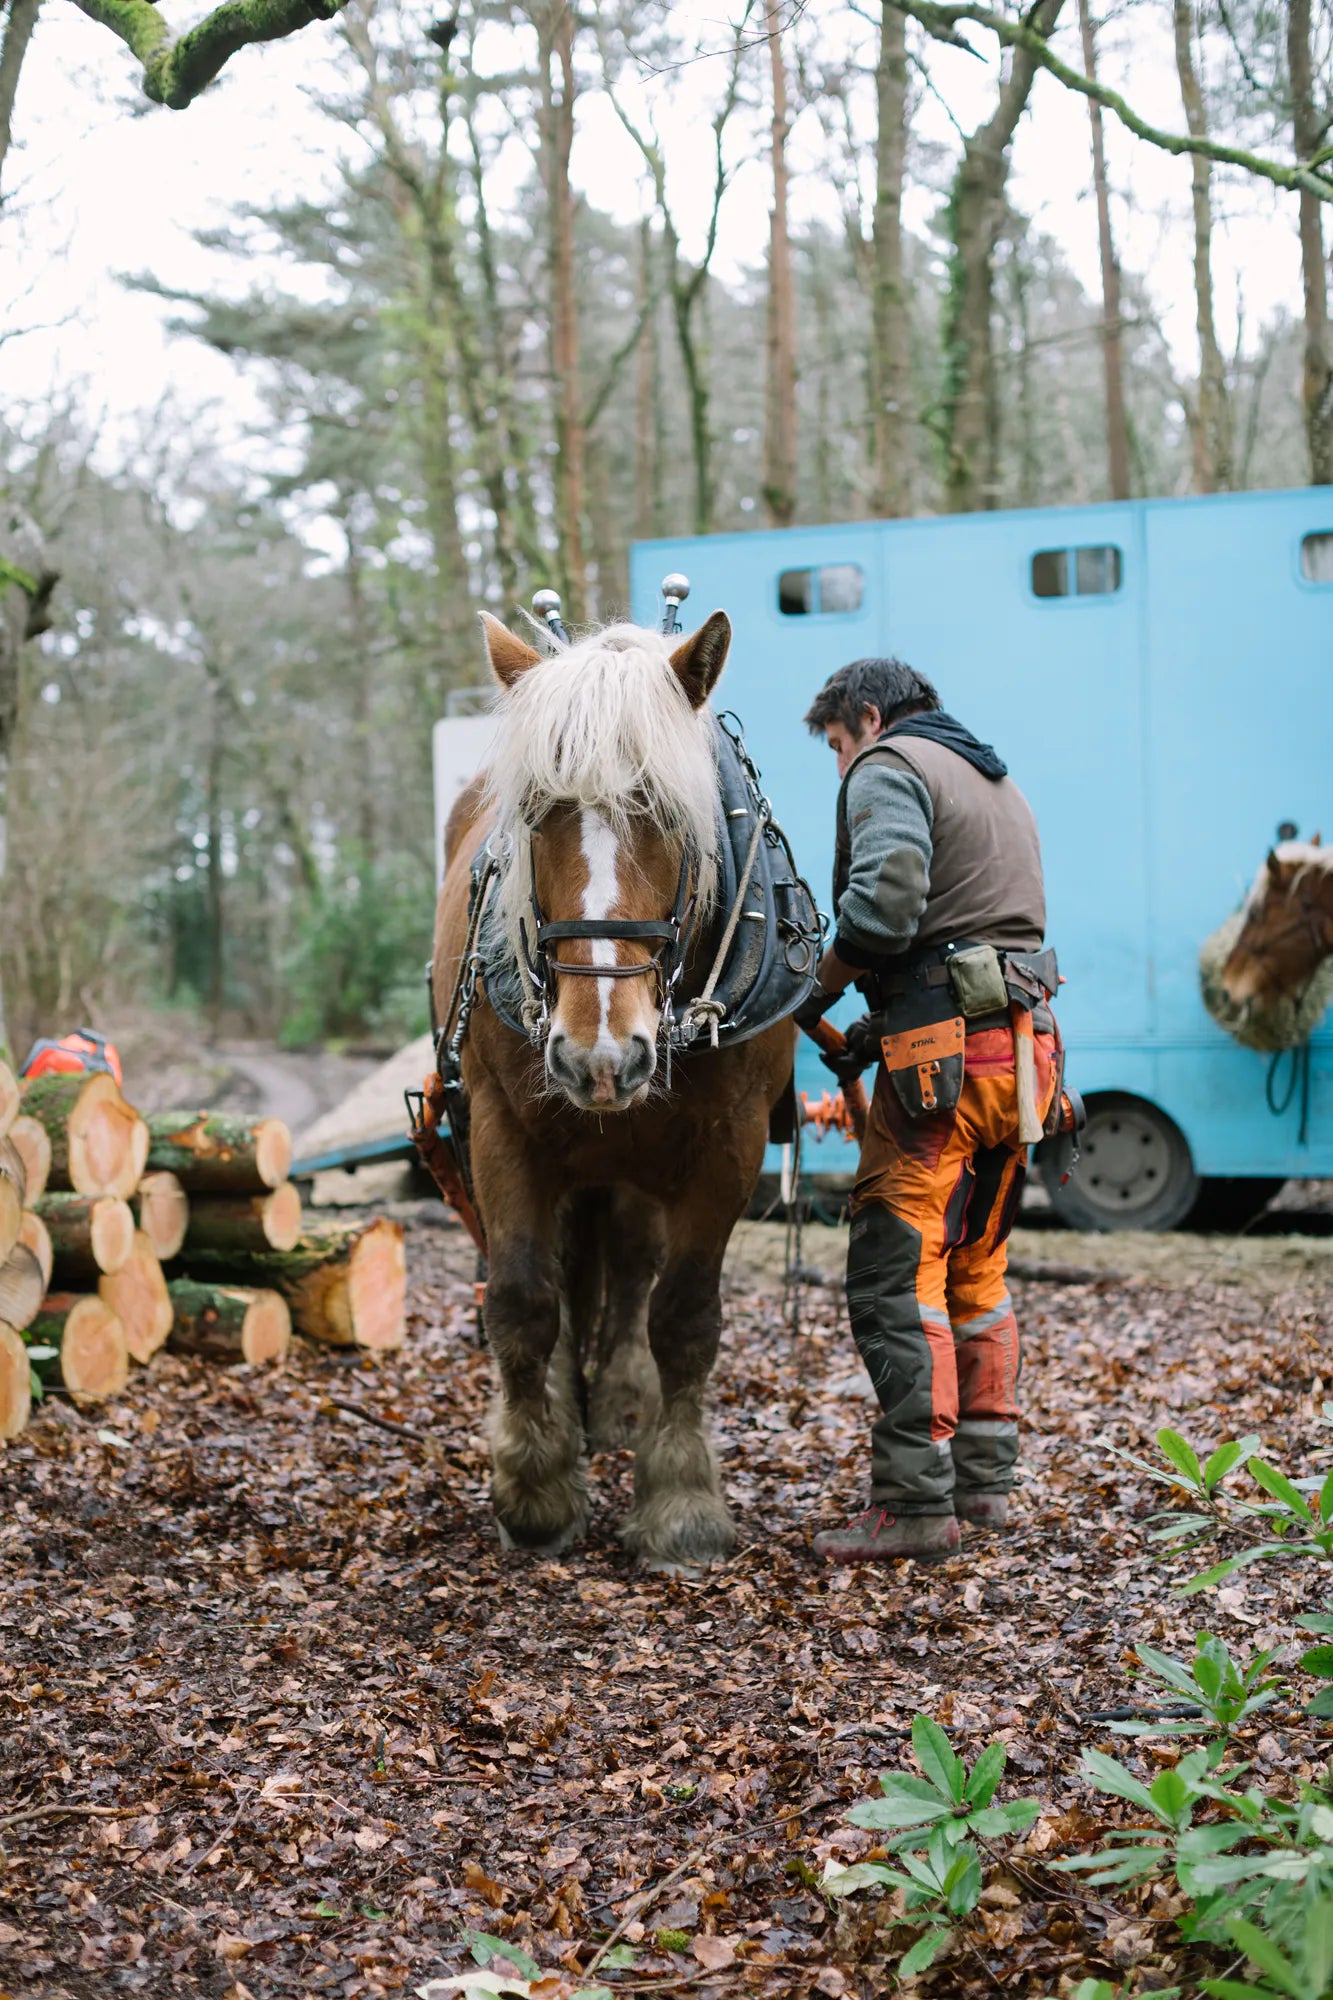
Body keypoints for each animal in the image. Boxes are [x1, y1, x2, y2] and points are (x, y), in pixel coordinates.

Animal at [430, 608, 792, 1560]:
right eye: (534, 811)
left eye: (662, 811)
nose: (600, 1053)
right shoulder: (498, 1126)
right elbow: (522, 1297)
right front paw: (534, 1485)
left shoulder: (731, 1143)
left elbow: (684, 1315)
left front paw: (681, 1501)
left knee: (631, 1269)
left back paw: (624, 1400)